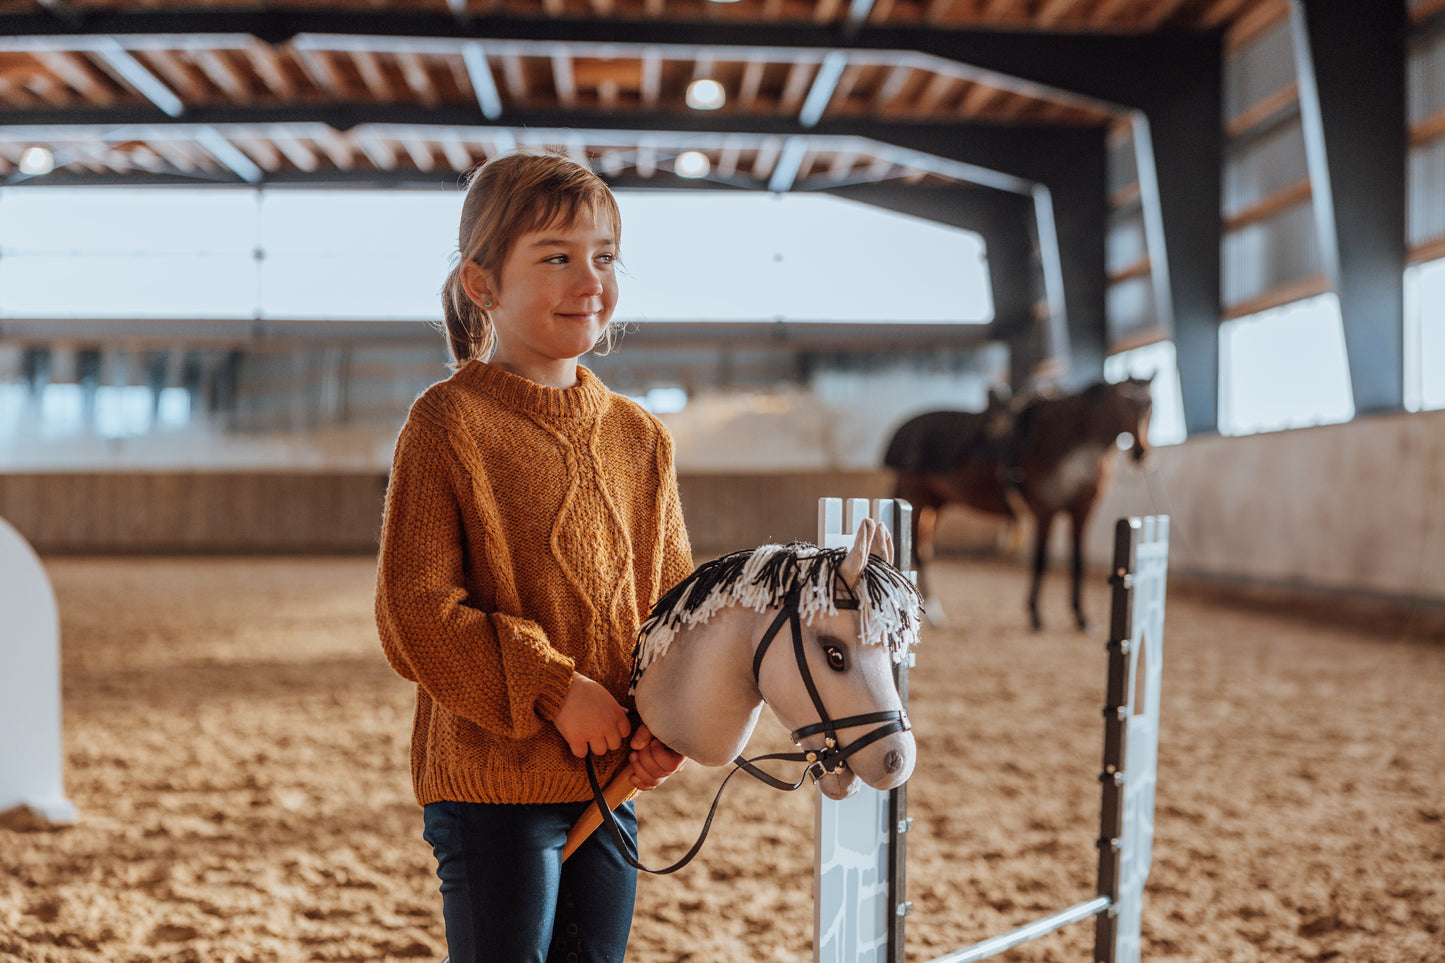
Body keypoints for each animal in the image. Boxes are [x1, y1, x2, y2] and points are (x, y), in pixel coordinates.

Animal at [884, 377, 1153, 631]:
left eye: (1150, 406)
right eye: (1125, 404)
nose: (1141, 452)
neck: (1067, 442)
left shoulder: (1082, 512)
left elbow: (1079, 562)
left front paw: (1082, 618)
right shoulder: (1045, 512)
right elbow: (1041, 560)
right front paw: (1036, 614)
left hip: (935, 504)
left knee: (923, 549)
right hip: (917, 501)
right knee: (917, 551)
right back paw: (930, 612)